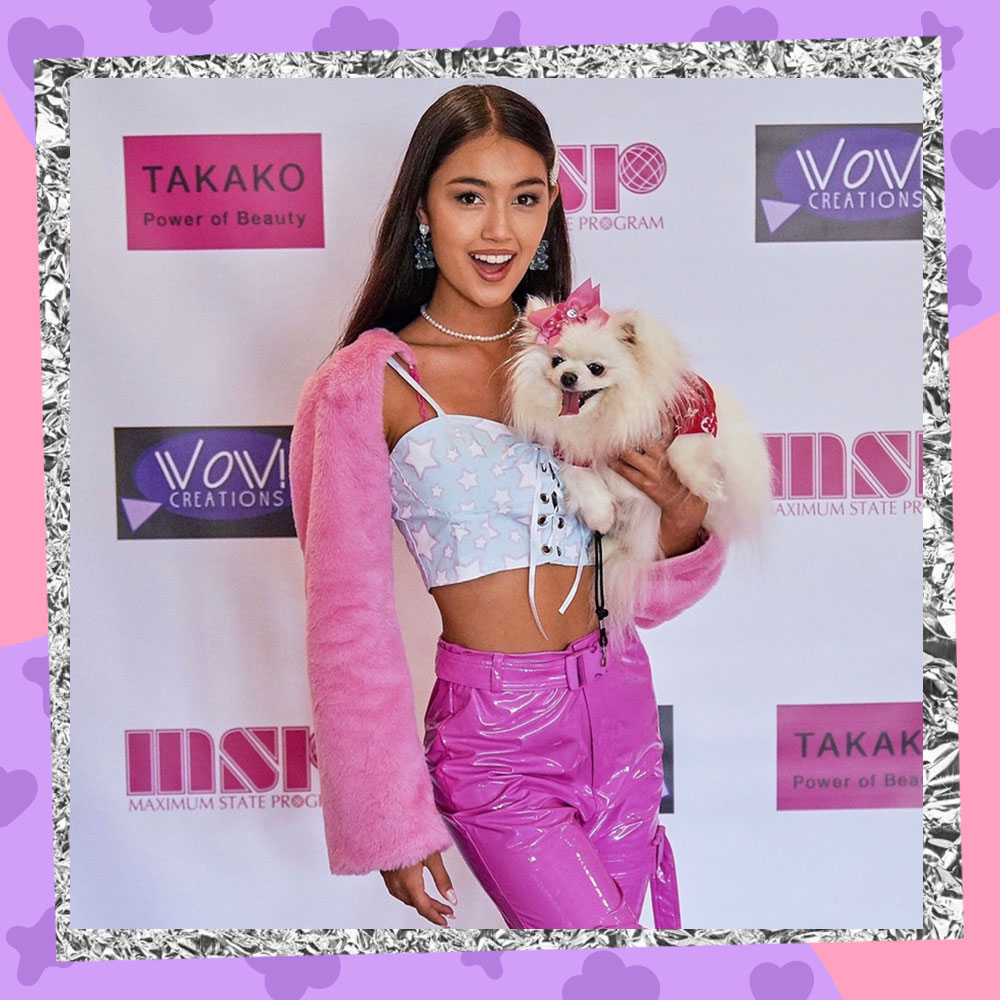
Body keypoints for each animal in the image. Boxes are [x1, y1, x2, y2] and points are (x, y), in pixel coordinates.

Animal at [508, 284, 772, 640]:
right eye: (557, 360)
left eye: (596, 368)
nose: (568, 377)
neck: (606, 415)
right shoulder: (572, 452)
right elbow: (585, 480)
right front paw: (601, 516)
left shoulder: (696, 410)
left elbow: (684, 448)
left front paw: (705, 485)